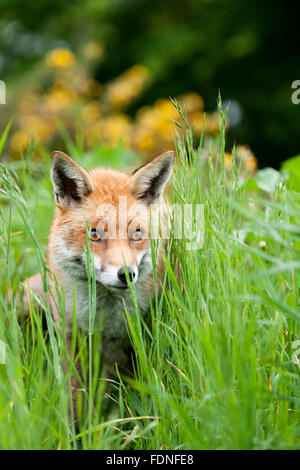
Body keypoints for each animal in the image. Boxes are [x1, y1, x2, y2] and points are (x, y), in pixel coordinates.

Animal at [21, 149, 175, 416]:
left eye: (137, 234)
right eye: (94, 234)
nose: (126, 274)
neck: (106, 318)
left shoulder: (141, 338)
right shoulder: (71, 335)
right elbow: (74, 398)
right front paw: (77, 429)